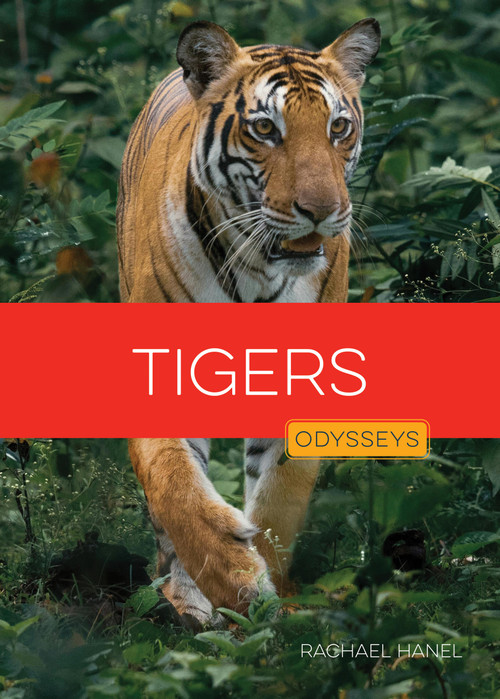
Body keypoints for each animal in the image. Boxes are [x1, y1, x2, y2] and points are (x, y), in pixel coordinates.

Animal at [117, 18, 380, 627]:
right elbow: (175, 483)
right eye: (265, 128)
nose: (321, 211)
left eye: (338, 127)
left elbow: (282, 490)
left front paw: (269, 591)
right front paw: (233, 583)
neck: (258, 267)